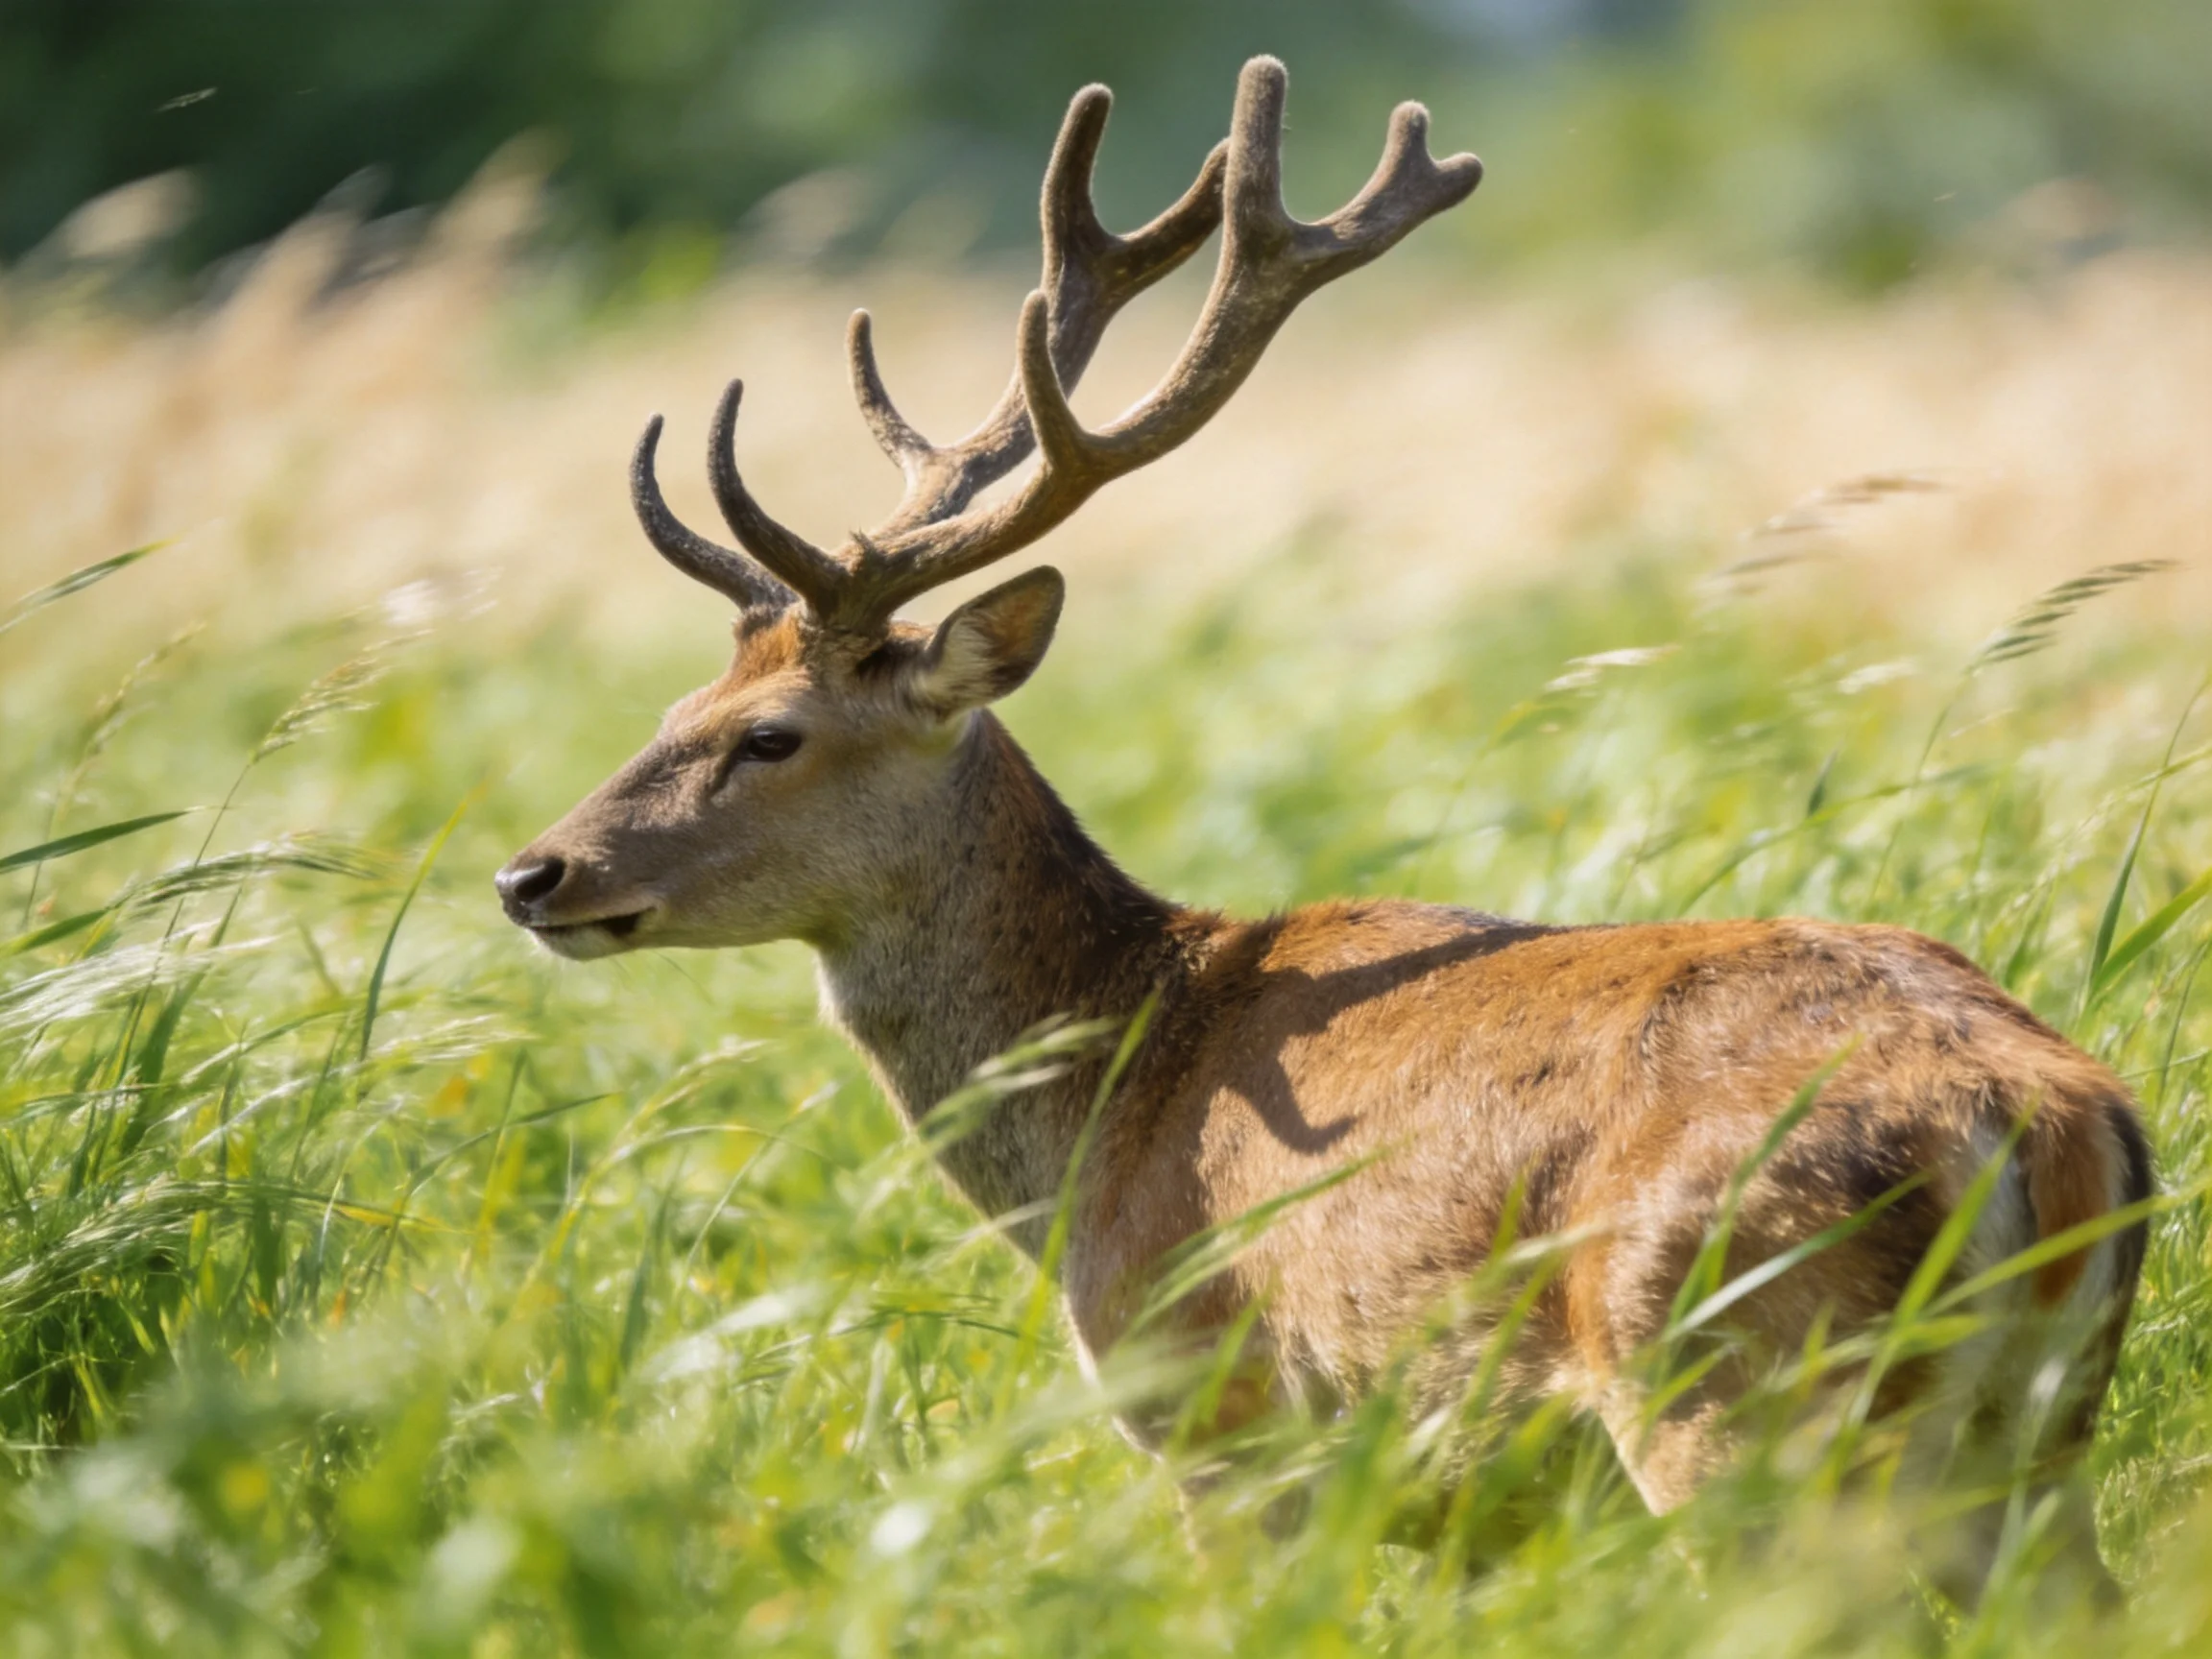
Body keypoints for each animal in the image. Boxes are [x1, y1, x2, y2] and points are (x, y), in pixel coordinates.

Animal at [495, 57, 2152, 1599]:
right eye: (673, 704)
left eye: (768, 736)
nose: (531, 872)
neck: (1105, 1116)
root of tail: (2043, 1117)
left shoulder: (1229, 1426)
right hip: (2030, 1443)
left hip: (1732, 1393)